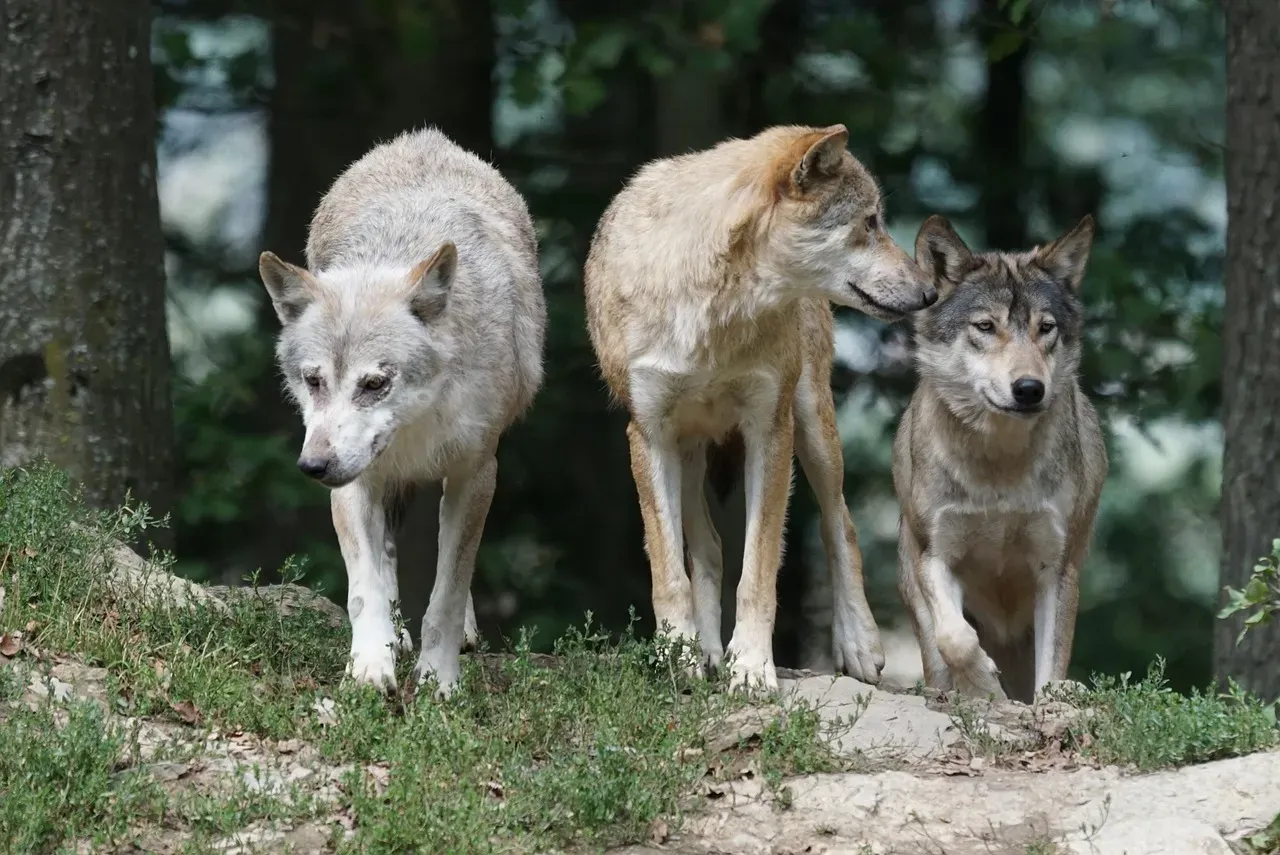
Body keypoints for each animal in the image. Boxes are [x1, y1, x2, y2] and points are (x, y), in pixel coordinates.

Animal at [257, 128, 546, 697]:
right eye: (314, 381)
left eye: (375, 384)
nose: (313, 467)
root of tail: (422, 138)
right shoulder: (354, 483)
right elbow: (364, 588)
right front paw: (370, 667)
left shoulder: (476, 473)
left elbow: (448, 592)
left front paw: (439, 680)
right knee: (388, 556)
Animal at [584, 124, 938, 691]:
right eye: (869, 223)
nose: (930, 292)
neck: (714, 309)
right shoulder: (648, 435)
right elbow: (669, 572)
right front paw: (679, 658)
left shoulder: (770, 430)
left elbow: (759, 571)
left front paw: (750, 667)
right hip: (688, 450)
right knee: (707, 548)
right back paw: (705, 653)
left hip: (813, 427)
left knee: (840, 523)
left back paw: (858, 645)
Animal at [893, 214, 1107, 703]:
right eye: (986, 327)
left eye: (1046, 328)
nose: (1029, 389)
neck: (999, 466)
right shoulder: (936, 553)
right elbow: (954, 638)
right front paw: (983, 685)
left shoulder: (1056, 567)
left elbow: (1052, 670)